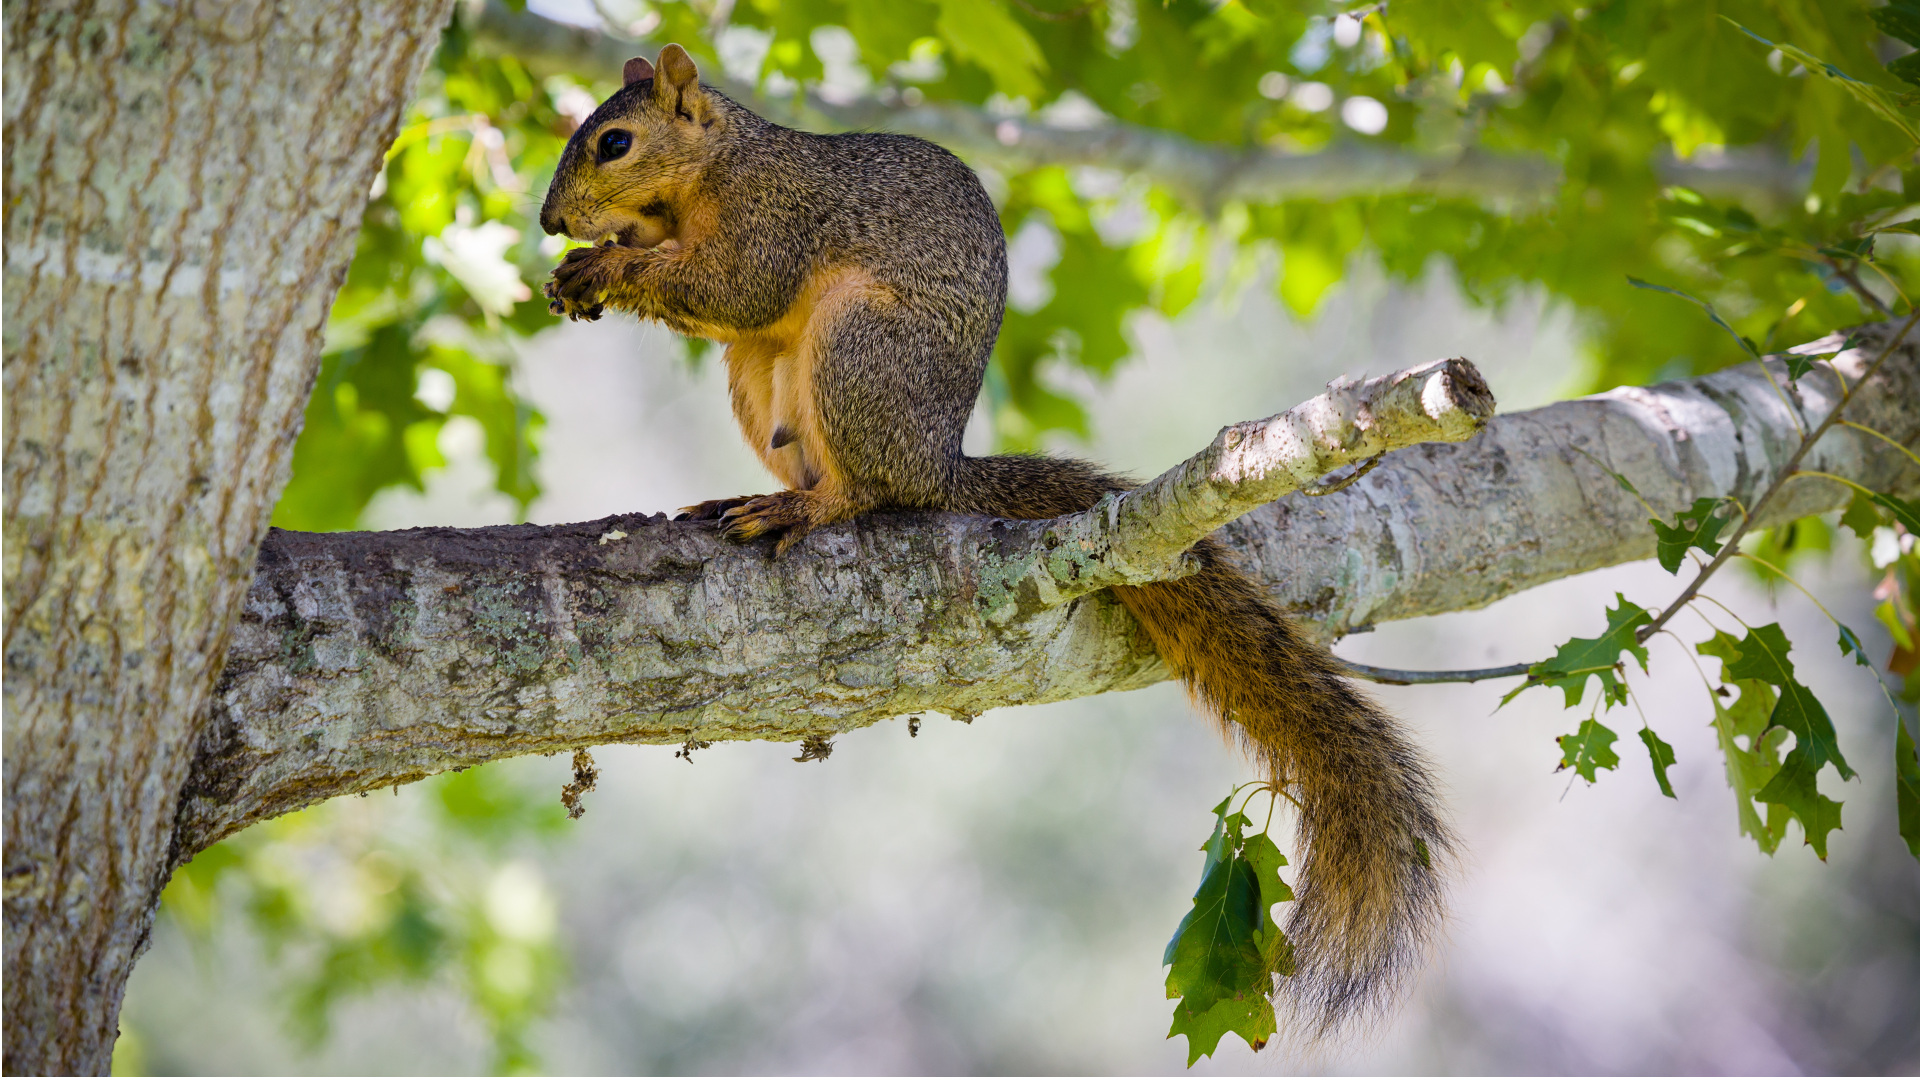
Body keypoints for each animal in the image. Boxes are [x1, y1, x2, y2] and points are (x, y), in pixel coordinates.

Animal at [541, 46, 1451, 1030]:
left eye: (614, 141)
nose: (551, 221)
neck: (710, 170)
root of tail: (941, 462)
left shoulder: (771, 215)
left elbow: (736, 285)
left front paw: (604, 266)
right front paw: (585, 264)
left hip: (861, 346)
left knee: (872, 492)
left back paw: (806, 509)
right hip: (760, 376)